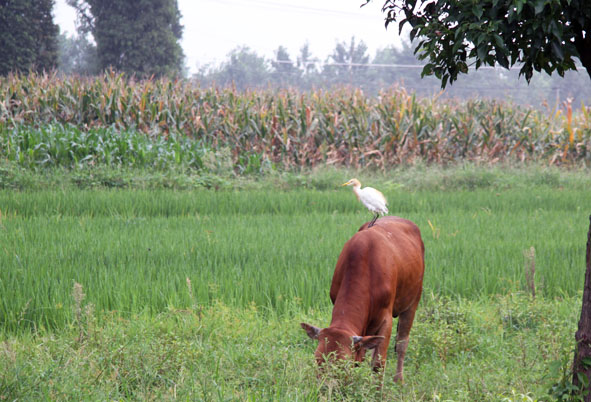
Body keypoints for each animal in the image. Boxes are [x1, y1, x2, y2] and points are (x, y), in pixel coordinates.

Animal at [301, 216, 425, 383]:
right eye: (317, 360)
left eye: (343, 363)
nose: (325, 387)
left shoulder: (386, 320)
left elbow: (378, 364)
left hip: (413, 301)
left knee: (401, 343)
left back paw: (398, 380)